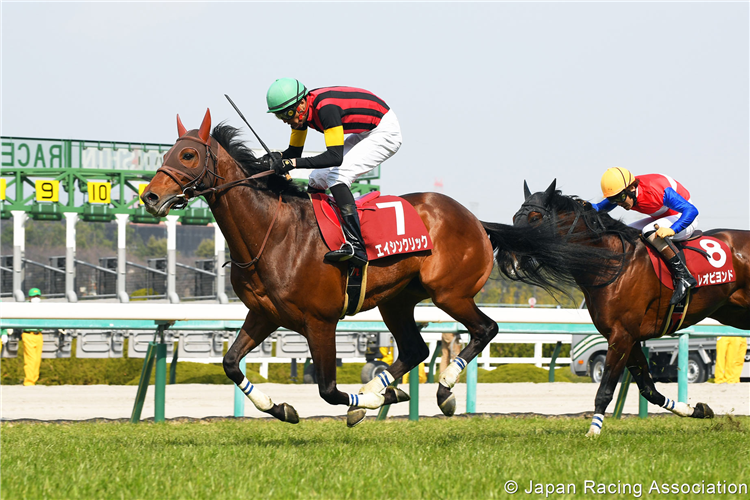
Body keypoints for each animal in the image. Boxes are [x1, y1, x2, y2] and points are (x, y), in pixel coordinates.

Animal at [141, 110, 540, 426]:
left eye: (188, 154)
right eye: (168, 151)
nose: (150, 196)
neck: (275, 234)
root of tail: (475, 221)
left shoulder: (321, 322)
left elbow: (328, 390)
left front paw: (369, 401)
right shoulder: (263, 314)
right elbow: (230, 363)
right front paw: (280, 407)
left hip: (450, 293)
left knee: (485, 329)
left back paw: (442, 391)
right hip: (396, 301)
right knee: (415, 350)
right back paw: (382, 390)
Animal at [494, 180, 750, 434]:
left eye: (535, 218)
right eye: (515, 217)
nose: (506, 259)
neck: (612, 263)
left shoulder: (621, 335)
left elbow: (605, 389)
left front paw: (593, 432)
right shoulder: (628, 337)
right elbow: (649, 389)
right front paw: (696, 410)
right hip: (734, 313)